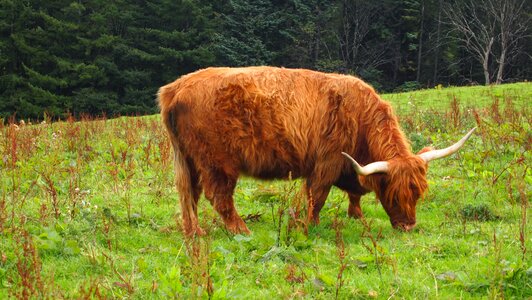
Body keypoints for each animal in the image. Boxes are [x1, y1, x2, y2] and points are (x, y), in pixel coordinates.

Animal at [157, 66, 474, 237]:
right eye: (394, 194)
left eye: (417, 193)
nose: (408, 227)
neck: (361, 119)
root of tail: (176, 86)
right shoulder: (327, 162)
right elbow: (317, 196)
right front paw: (309, 224)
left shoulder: (348, 167)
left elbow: (356, 192)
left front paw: (356, 216)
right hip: (216, 161)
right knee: (218, 196)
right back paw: (241, 230)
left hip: (187, 159)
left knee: (189, 194)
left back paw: (195, 232)